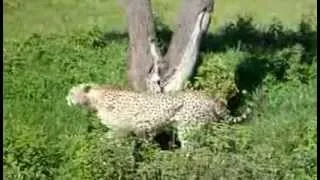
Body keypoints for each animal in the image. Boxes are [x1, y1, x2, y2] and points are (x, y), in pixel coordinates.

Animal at [67, 83, 252, 148]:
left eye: (71, 93)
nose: (66, 99)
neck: (95, 98)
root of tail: (209, 97)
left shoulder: (121, 130)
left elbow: (105, 139)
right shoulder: (139, 130)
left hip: (188, 129)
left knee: (192, 151)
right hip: (204, 126)